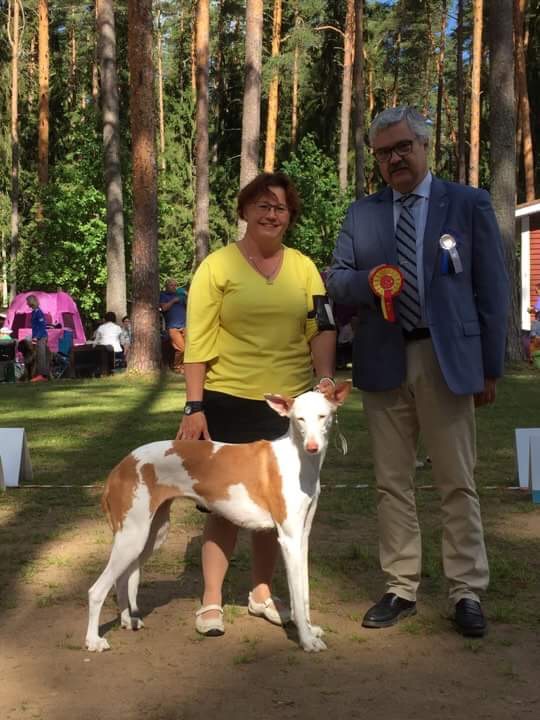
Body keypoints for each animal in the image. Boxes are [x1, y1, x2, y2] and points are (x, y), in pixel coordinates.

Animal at [85, 381, 351, 653]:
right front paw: (307, 641)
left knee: (123, 579)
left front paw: (309, 627)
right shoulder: (288, 539)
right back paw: (93, 640)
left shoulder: (302, 538)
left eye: (323, 416)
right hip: (133, 537)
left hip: (152, 534)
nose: (312, 447)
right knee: (97, 590)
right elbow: (297, 595)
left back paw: (127, 620)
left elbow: (304, 594)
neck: (297, 459)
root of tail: (120, 467)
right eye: (299, 419)